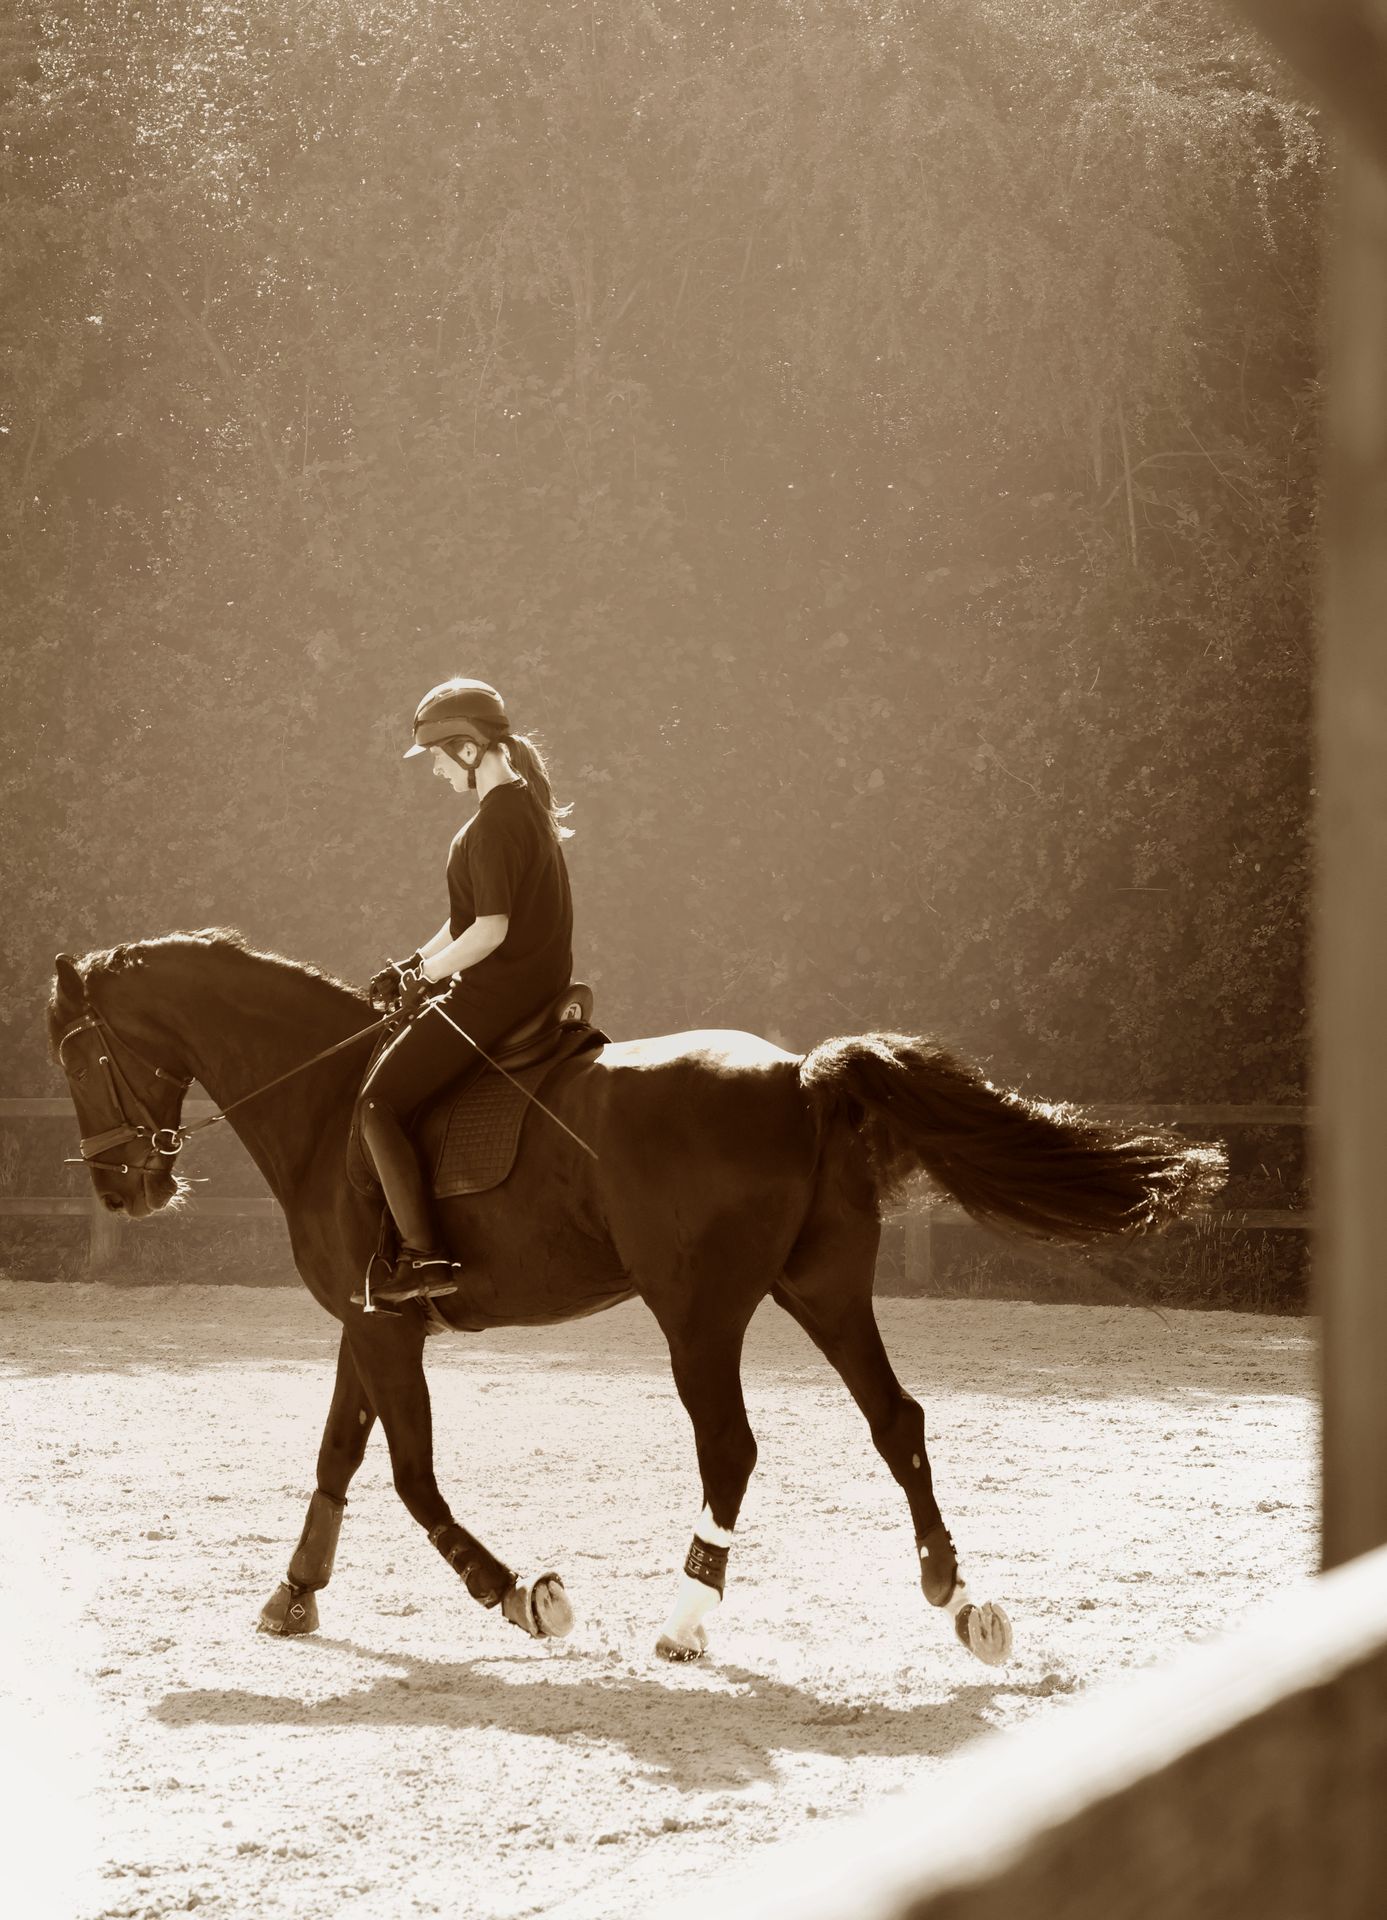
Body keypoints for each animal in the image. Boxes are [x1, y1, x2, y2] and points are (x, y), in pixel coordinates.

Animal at [47, 929, 1225, 1664]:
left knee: (732, 1447)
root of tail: (796, 1078)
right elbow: (339, 1454)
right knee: (897, 1421)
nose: (120, 1188)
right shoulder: (367, 1321)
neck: (332, 1097)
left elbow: (412, 1479)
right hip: (822, 1286)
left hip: (698, 1312)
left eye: (75, 1053)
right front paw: (292, 1593)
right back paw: (960, 1598)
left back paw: (688, 1619)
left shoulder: (383, 1330)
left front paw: (519, 1595)